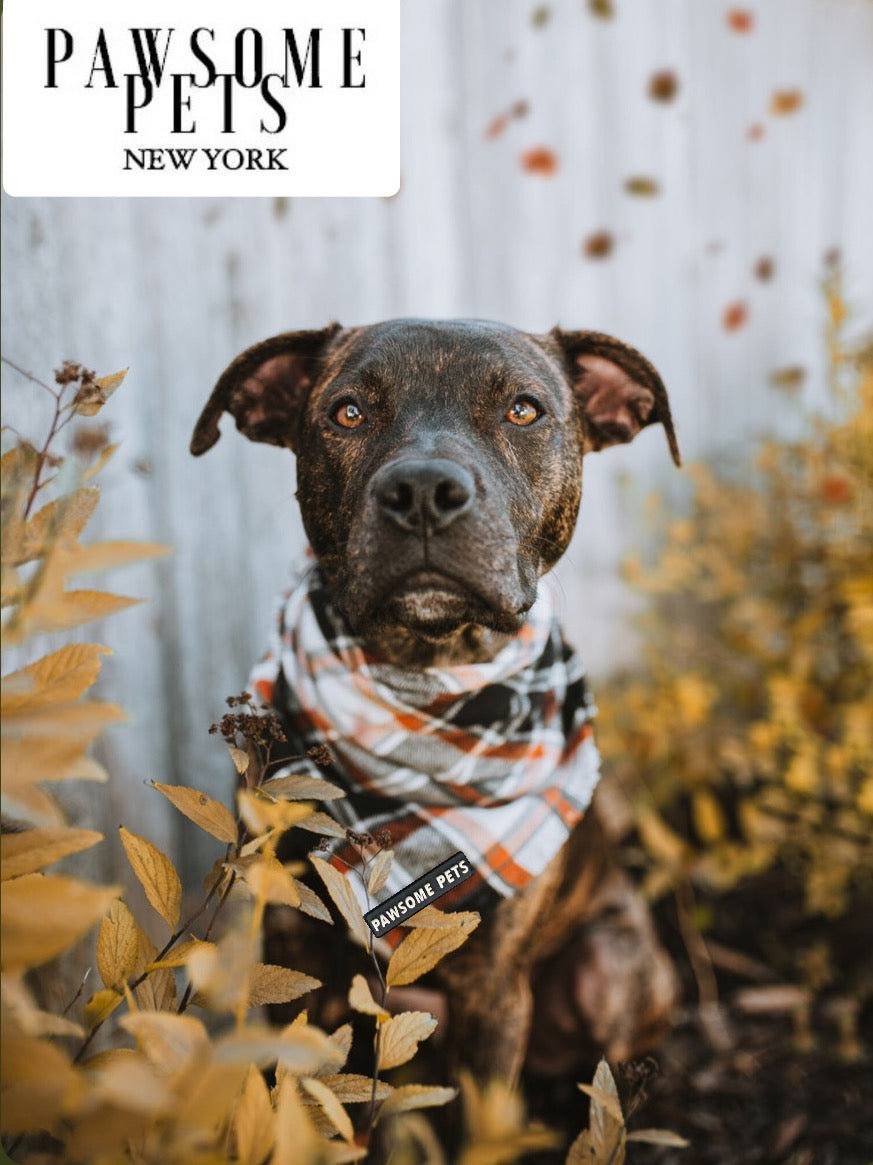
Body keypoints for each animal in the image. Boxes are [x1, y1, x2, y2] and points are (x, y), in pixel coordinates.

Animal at [192, 316, 680, 1081]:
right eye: (348, 413)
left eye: (523, 410)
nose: (422, 488)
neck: (427, 680)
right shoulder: (291, 952)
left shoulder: (492, 990)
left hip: (607, 965)